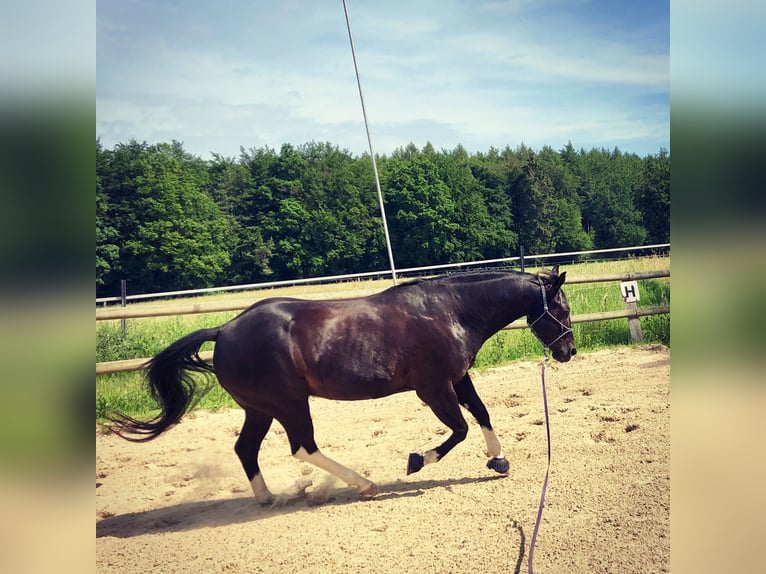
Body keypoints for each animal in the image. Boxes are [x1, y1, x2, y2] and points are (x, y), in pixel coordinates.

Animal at [109, 266, 576, 503]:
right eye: (563, 308)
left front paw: (499, 460)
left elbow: (481, 412)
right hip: (289, 403)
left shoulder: (457, 378)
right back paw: (364, 484)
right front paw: (415, 461)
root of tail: (223, 330)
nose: (568, 351)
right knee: (302, 446)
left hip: (260, 408)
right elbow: (459, 429)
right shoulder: (433, 389)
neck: (449, 310)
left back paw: (268, 497)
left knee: (246, 449)